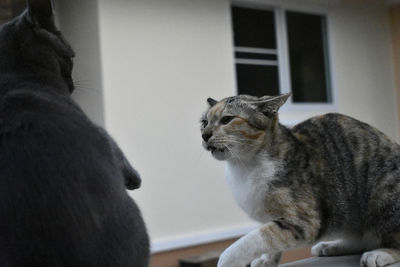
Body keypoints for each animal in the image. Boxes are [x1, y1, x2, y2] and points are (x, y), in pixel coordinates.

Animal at [202, 94, 400, 267]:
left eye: (227, 119)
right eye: (204, 122)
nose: (205, 134)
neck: (244, 166)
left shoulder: (305, 220)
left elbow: (253, 239)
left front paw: (227, 260)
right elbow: (272, 240)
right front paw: (267, 260)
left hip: (383, 196)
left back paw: (380, 253)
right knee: (361, 240)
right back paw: (330, 246)